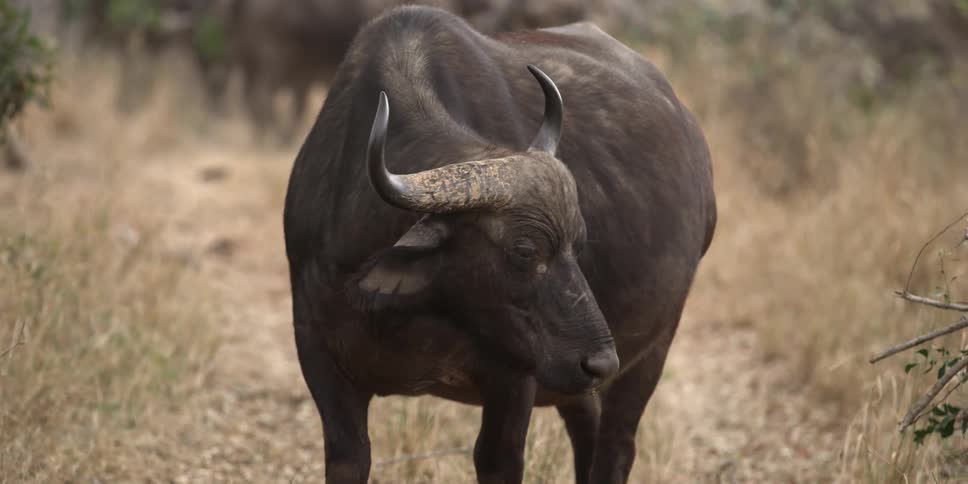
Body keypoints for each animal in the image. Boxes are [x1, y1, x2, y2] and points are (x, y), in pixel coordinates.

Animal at [283, 6, 716, 483]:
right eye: (524, 251)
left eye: (578, 242)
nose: (601, 362)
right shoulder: (319, 358)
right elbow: (350, 456)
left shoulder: (514, 380)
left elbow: (497, 459)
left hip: (651, 350)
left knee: (616, 445)